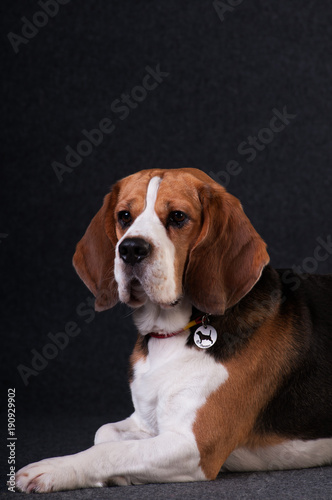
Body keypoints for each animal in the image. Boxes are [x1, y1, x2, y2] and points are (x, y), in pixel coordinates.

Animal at [16, 168, 332, 492]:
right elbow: (105, 434)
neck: (171, 335)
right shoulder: (145, 421)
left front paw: (54, 468)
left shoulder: (194, 446)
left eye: (178, 217)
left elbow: (109, 451)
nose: (130, 249)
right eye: (124, 216)